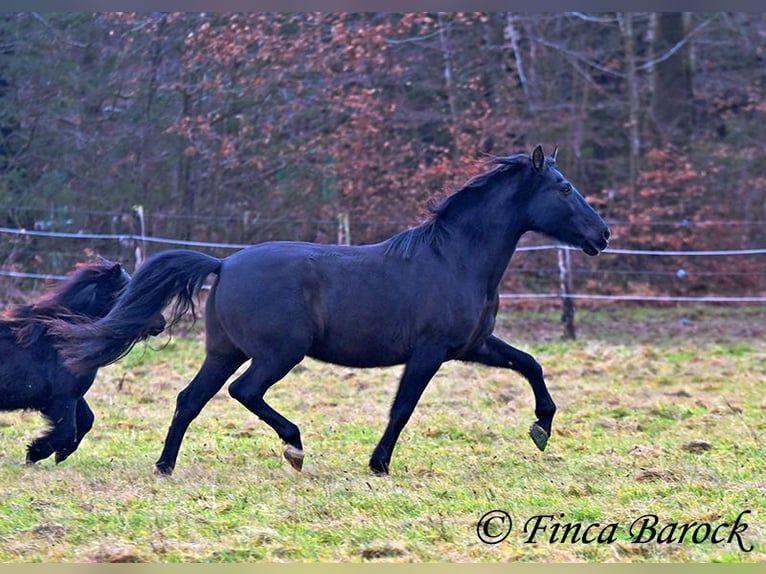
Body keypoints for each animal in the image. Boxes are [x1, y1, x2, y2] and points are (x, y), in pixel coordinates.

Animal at [0, 260, 166, 468]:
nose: (162, 323)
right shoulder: (63, 399)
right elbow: (68, 430)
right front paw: (36, 453)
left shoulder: (73, 396)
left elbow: (87, 420)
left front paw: (60, 454)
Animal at [52, 147, 612, 476]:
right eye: (563, 188)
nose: (602, 235)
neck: (454, 259)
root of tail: (224, 262)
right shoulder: (429, 352)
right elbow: (402, 408)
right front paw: (379, 464)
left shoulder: (471, 346)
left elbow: (530, 364)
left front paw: (542, 429)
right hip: (277, 354)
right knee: (243, 392)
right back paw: (295, 448)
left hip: (224, 351)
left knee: (190, 399)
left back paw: (165, 466)